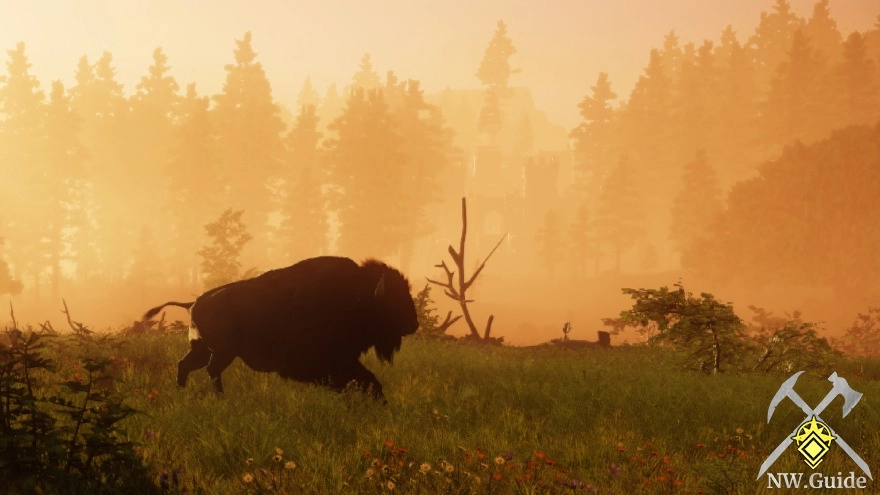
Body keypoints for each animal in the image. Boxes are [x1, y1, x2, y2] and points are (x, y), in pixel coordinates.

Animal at [141, 258, 420, 402]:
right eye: (394, 300)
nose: (414, 324)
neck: (358, 294)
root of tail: (195, 302)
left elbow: (369, 381)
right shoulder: (336, 362)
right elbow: (367, 380)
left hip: (202, 348)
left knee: (185, 365)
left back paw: (182, 393)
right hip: (224, 351)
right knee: (211, 370)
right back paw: (221, 398)